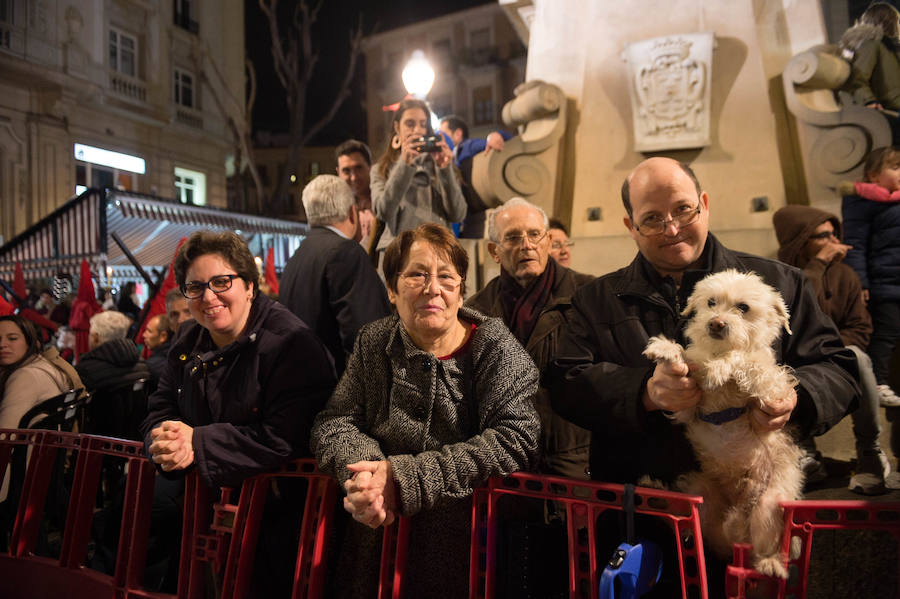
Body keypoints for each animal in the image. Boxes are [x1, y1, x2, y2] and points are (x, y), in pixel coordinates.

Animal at [640, 270, 800, 580]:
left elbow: (743, 359)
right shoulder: (686, 409)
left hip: (767, 507)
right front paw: (666, 350)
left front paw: (719, 369)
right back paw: (657, 497)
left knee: (760, 551)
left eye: (743, 307)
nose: (715, 323)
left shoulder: (773, 389)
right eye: (711, 302)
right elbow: (686, 360)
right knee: (694, 525)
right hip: (699, 491)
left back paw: (771, 564)